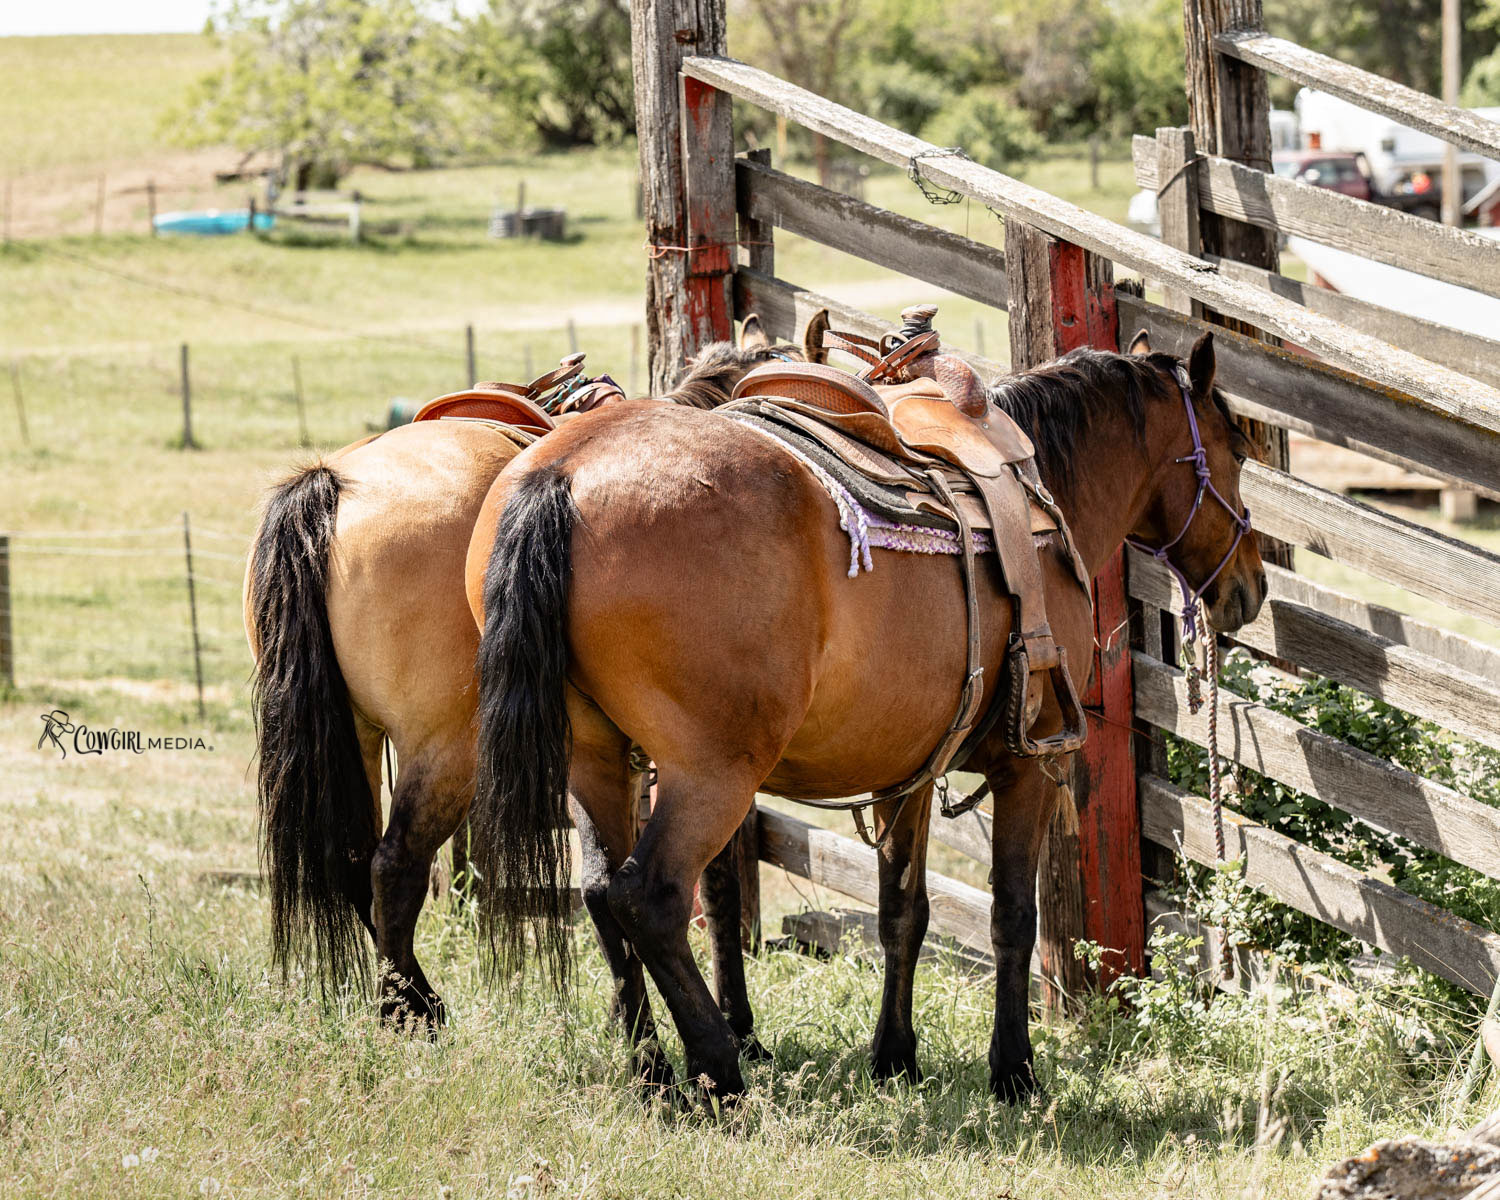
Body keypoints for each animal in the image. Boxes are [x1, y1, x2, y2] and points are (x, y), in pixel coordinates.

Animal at [244, 316, 804, 1068]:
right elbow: (708, 886)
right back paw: (417, 1011)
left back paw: (406, 1002)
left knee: (352, 860)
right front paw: (737, 1029)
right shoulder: (699, 758)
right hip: (446, 748)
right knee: (395, 867)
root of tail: (330, 486)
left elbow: (609, 883)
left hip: (351, 735)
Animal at [465, 328, 1266, 1104]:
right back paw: (721, 1073)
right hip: (712, 773)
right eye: (1234, 445)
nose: (1252, 586)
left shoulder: (905, 771)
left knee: (602, 894)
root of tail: (562, 476)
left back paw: (652, 1073)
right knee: (650, 897)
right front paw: (1014, 1072)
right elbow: (1013, 914)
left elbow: (901, 913)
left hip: (595, 758)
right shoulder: (1030, 764)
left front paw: (895, 1059)